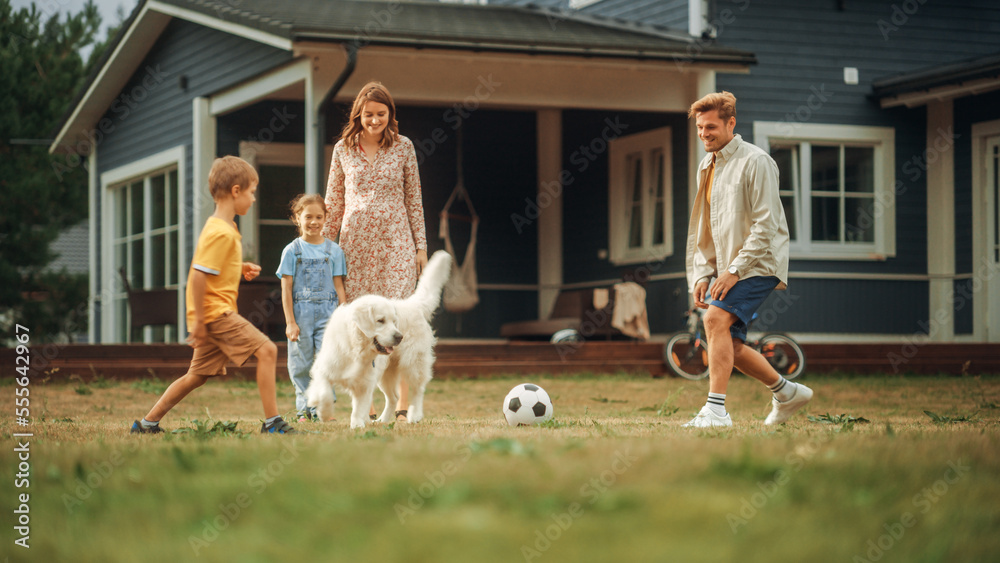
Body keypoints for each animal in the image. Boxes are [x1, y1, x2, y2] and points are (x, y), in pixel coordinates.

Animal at [304, 250, 454, 428]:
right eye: (381, 320)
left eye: (394, 322)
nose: (399, 336)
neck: (355, 349)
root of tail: (413, 304)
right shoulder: (323, 370)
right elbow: (324, 393)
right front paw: (325, 413)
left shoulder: (365, 382)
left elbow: (359, 407)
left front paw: (357, 425)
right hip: (386, 374)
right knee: (394, 397)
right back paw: (382, 420)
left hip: (413, 363)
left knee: (418, 390)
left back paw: (414, 415)